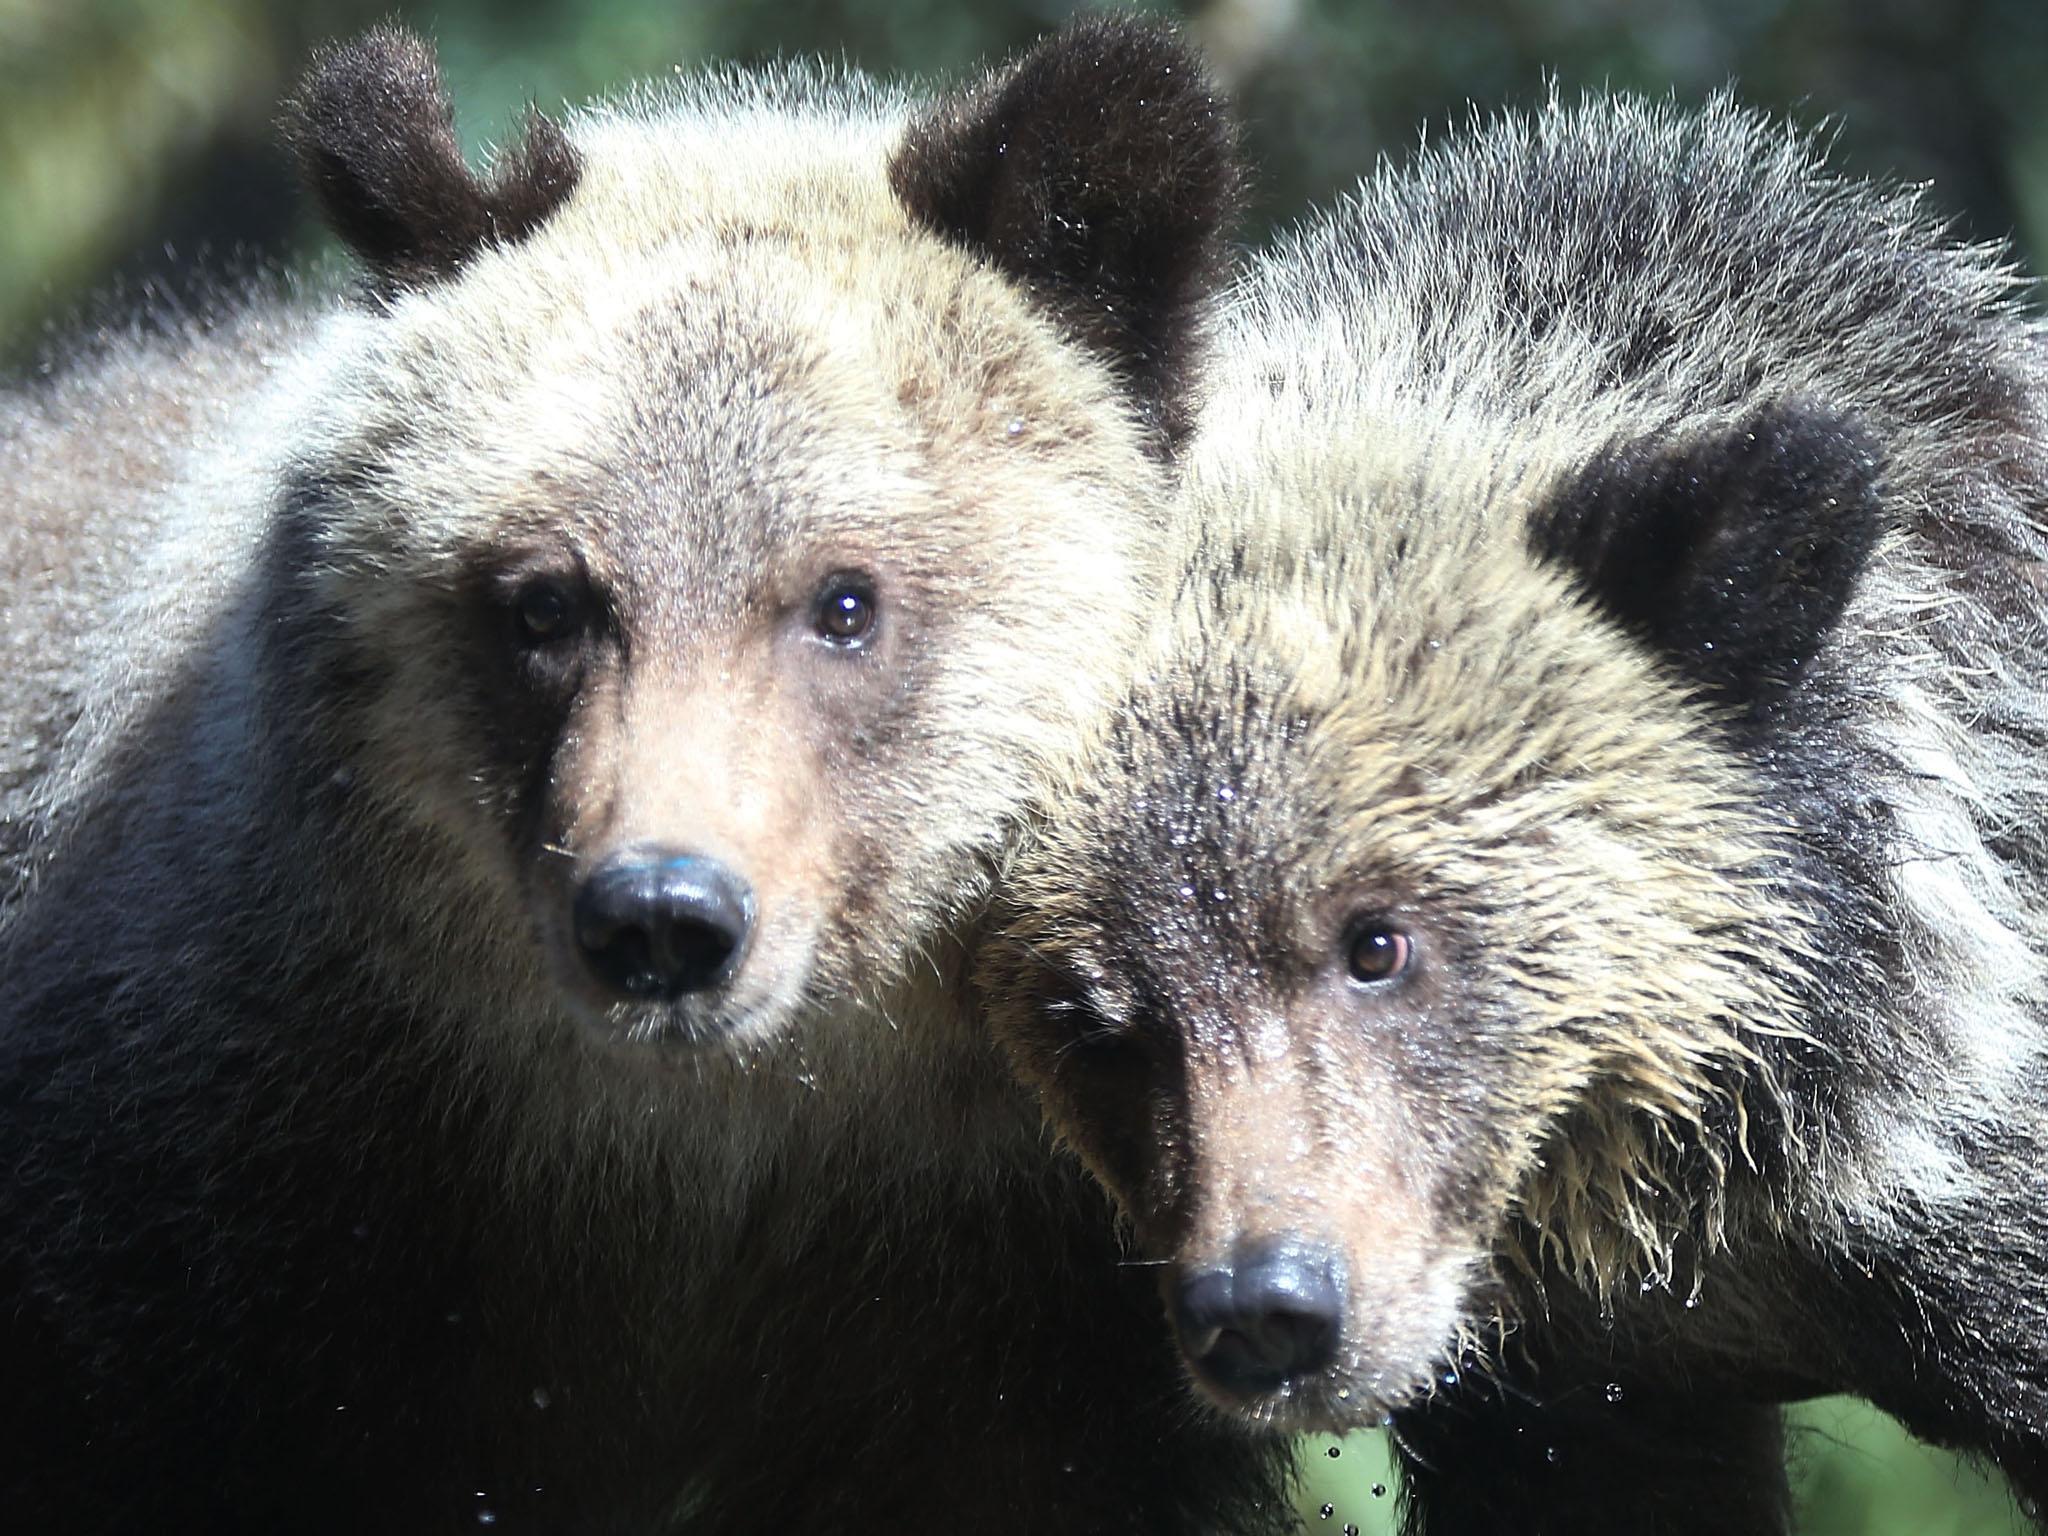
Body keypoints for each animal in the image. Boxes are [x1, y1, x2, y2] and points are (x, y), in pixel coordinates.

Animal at [0, 15, 1294, 1536]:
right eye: (545, 601)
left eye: (842, 601)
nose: (664, 916)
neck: (695, 1153)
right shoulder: (238, 1204)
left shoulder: (1011, 1306)